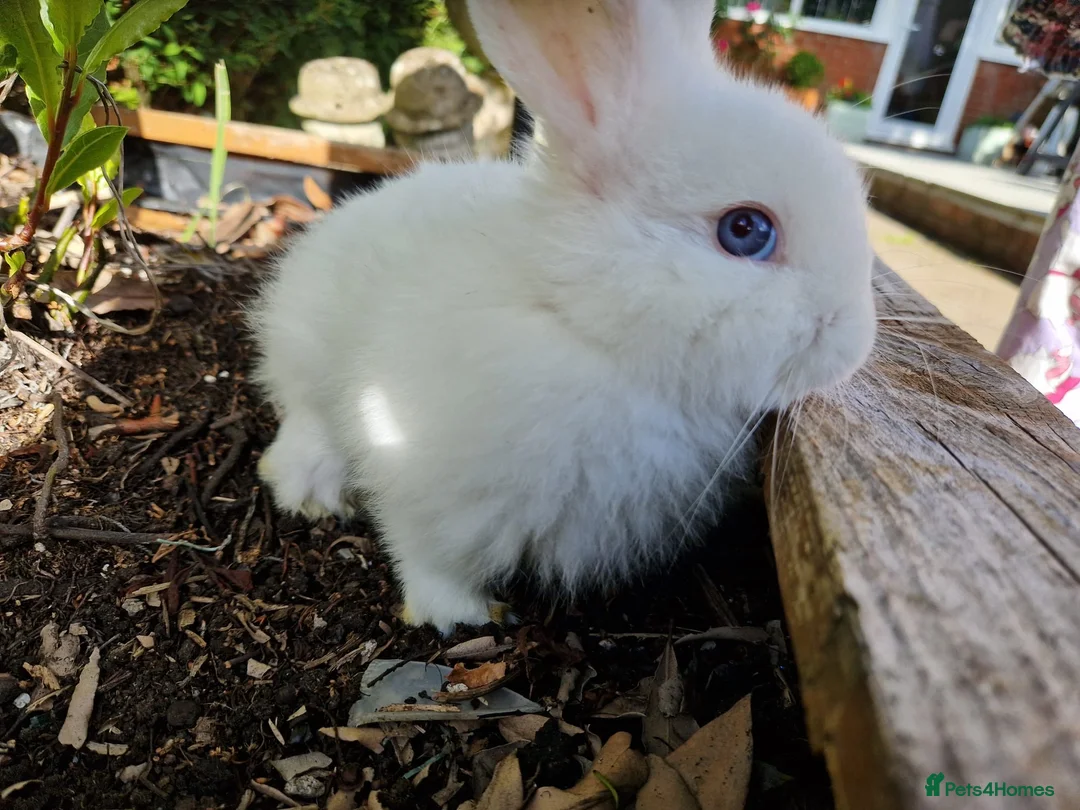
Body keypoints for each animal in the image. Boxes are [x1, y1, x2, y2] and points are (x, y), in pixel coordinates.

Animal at [249, 0, 877, 635]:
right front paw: (461, 616)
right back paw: (309, 490)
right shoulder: (425, 481)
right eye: (745, 230)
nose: (856, 344)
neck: (581, 323)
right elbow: (425, 555)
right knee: (304, 420)